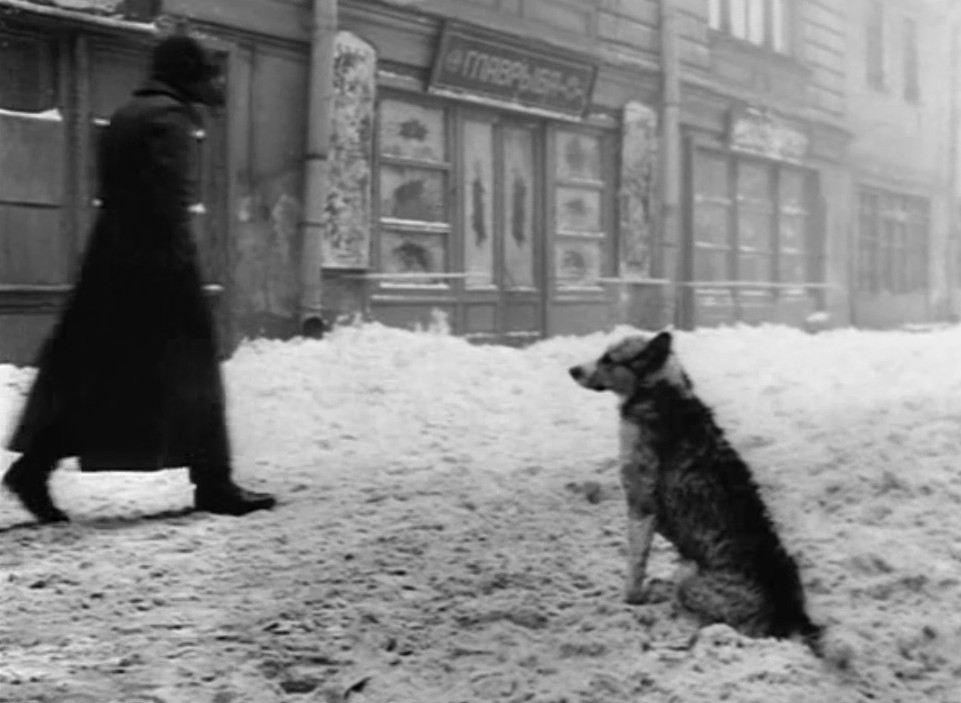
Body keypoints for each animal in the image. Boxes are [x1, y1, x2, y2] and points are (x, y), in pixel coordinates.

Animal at [568, 332, 824, 656]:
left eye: (608, 359)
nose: (572, 370)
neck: (659, 390)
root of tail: (788, 612)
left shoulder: (641, 508)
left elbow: (634, 566)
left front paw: (630, 601)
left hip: (687, 577)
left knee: (704, 626)